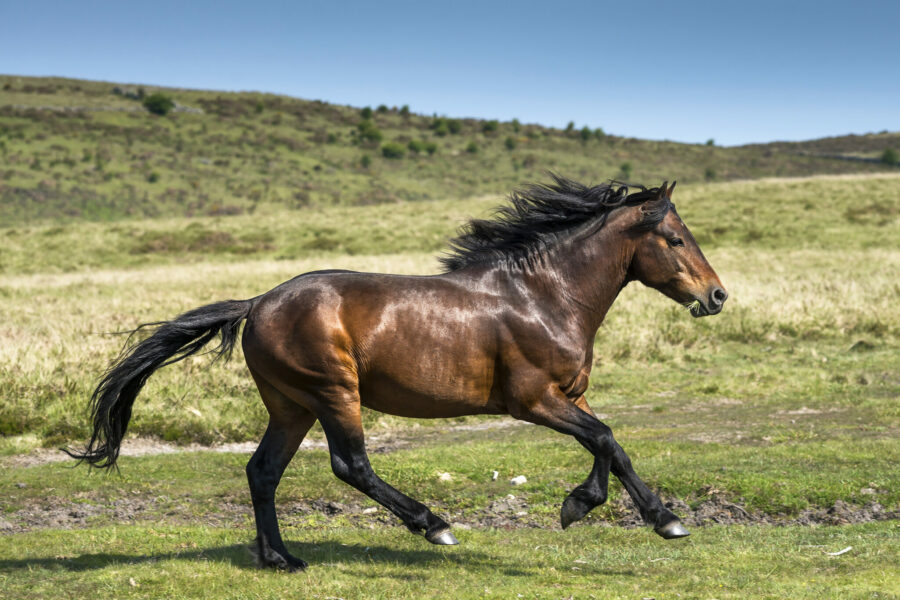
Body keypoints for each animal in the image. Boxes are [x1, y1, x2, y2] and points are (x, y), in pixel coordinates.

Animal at [67, 175, 728, 571]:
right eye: (674, 239)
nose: (717, 295)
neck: (543, 295)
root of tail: (258, 303)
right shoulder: (535, 399)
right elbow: (606, 438)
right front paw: (613, 511)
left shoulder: (568, 396)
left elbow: (612, 445)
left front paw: (642, 515)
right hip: (333, 393)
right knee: (351, 466)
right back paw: (432, 525)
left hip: (291, 406)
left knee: (262, 472)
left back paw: (281, 559)